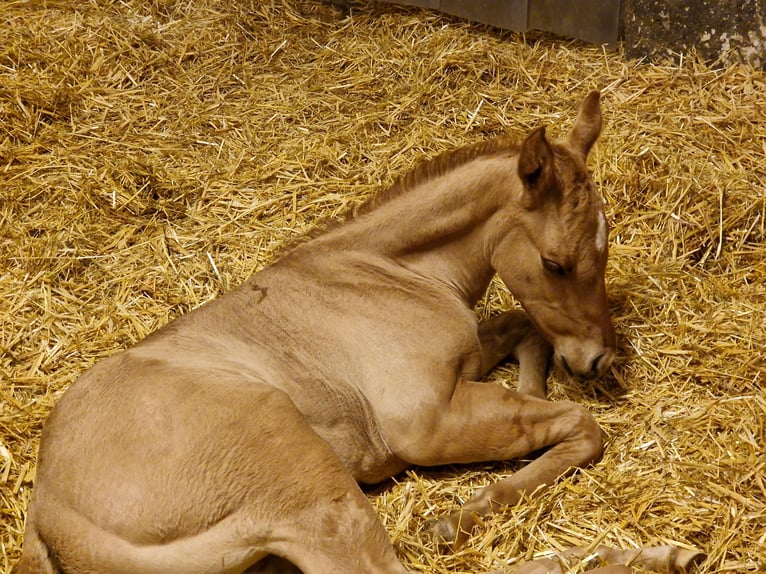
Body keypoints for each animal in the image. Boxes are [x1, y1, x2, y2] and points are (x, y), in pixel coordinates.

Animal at [14, 92, 701, 574]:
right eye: (556, 263)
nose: (599, 360)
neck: (386, 269)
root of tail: (49, 518)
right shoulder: (422, 421)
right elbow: (580, 425)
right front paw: (471, 508)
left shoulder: (465, 359)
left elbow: (521, 331)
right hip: (302, 479)